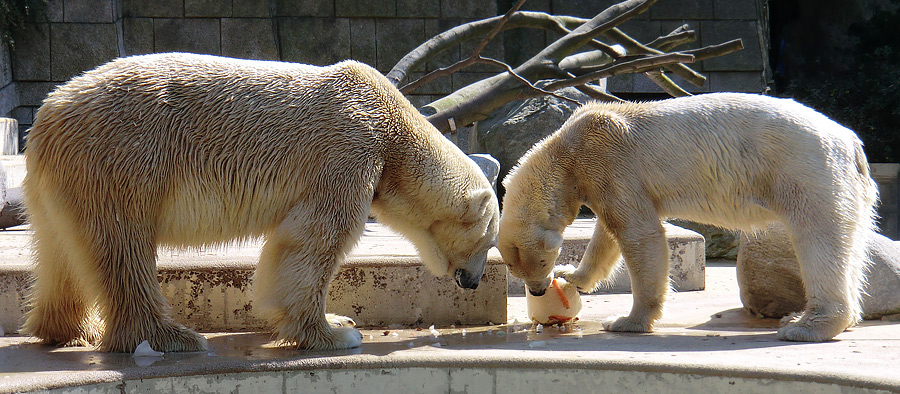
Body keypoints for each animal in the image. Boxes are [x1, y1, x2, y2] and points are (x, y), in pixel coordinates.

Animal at [22, 52, 500, 350]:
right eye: (488, 242)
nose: (475, 281)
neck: (392, 127)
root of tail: (47, 116)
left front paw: (341, 320)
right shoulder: (347, 151)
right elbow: (314, 240)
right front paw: (337, 333)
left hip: (62, 183)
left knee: (62, 250)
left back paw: (70, 329)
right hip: (122, 159)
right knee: (124, 245)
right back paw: (170, 337)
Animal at [500, 93, 880, 342]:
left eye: (540, 261)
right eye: (514, 268)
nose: (537, 290)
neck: (569, 146)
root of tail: (851, 143)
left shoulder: (610, 162)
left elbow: (640, 234)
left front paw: (625, 321)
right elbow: (607, 234)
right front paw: (573, 275)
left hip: (807, 172)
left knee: (817, 239)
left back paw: (803, 325)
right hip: (851, 191)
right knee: (850, 246)